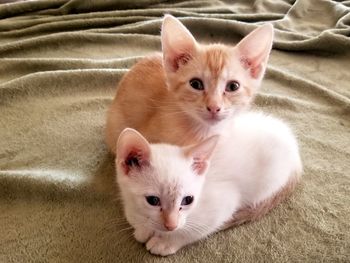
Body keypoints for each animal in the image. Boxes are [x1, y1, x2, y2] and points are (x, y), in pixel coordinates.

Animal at [115, 112, 300, 256]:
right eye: (153, 200)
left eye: (188, 200)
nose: (171, 225)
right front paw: (143, 229)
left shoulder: (223, 204)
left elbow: (195, 231)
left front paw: (167, 242)